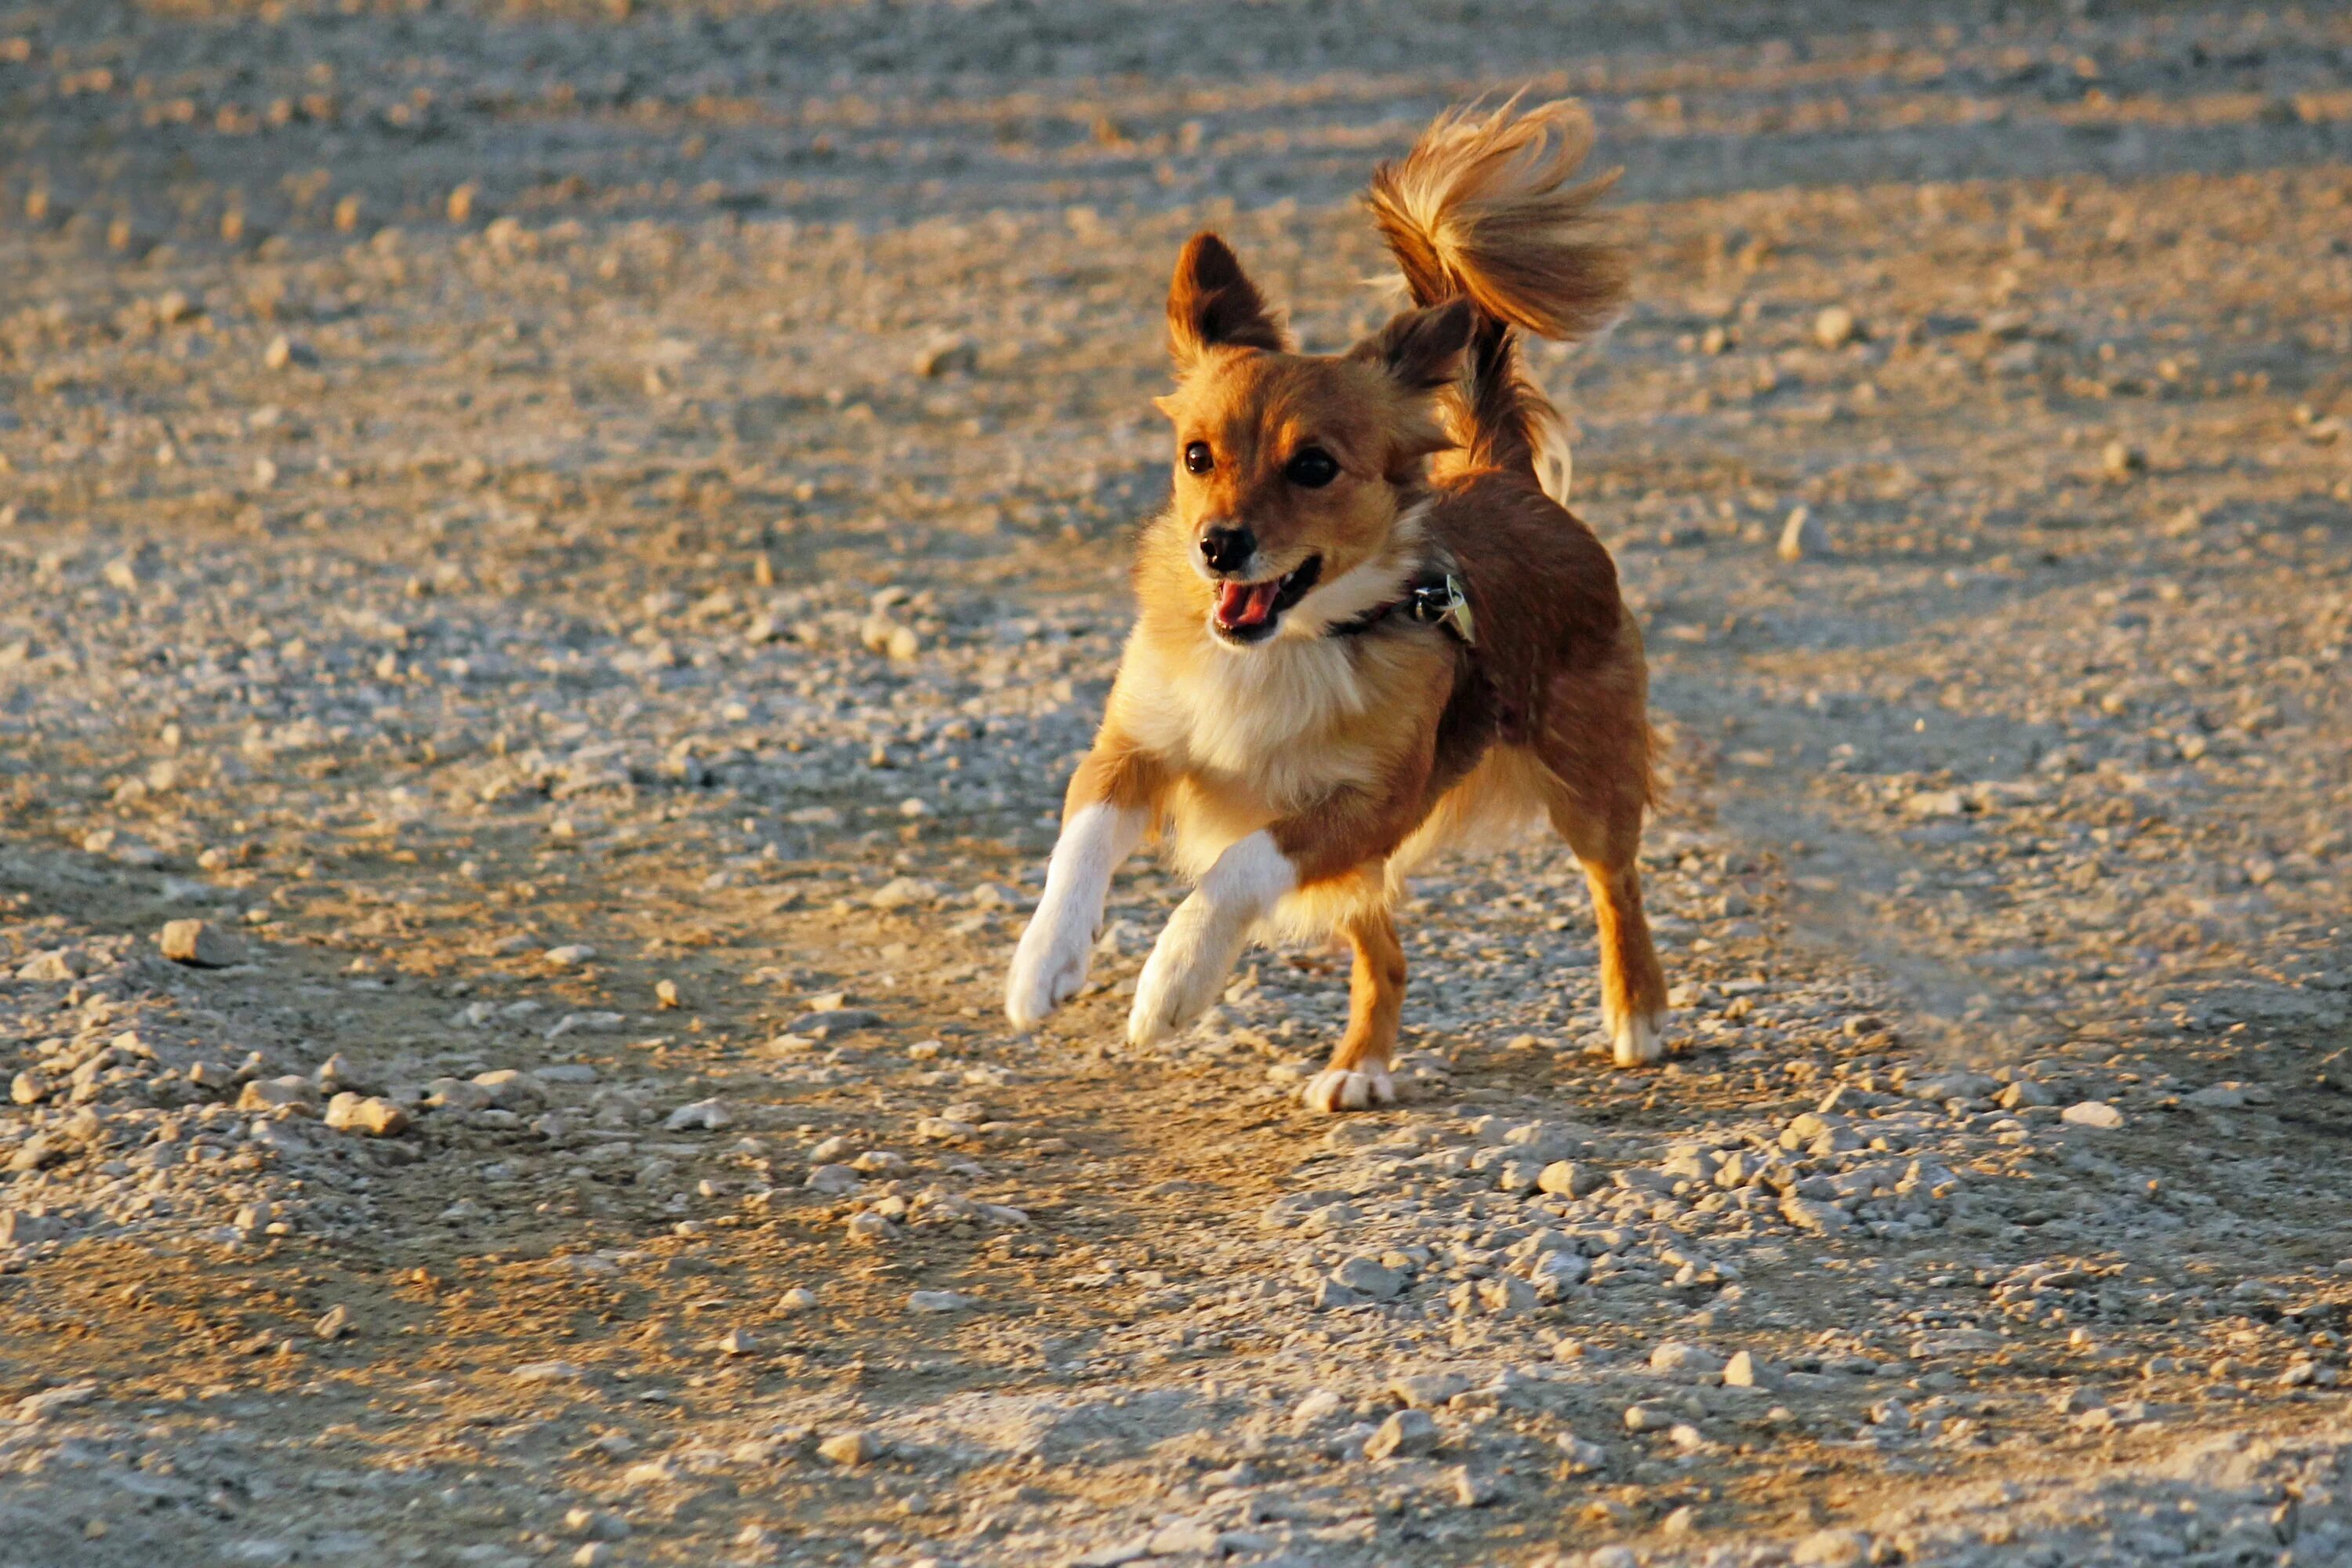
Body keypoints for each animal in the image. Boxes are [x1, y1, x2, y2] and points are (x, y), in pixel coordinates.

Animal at [1002, 98, 1665, 1109]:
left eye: (1313, 465)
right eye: (1197, 455)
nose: (1218, 546)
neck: (1284, 644)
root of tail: (1502, 472)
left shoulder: (1364, 807)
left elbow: (1238, 865)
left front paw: (1173, 980)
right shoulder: (1130, 753)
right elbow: (1079, 841)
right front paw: (1044, 960)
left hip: (1585, 779)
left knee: (1615, 884)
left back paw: (1640, 1014)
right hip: (1354, 879)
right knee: (1386, 958)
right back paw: (1362, 1064)